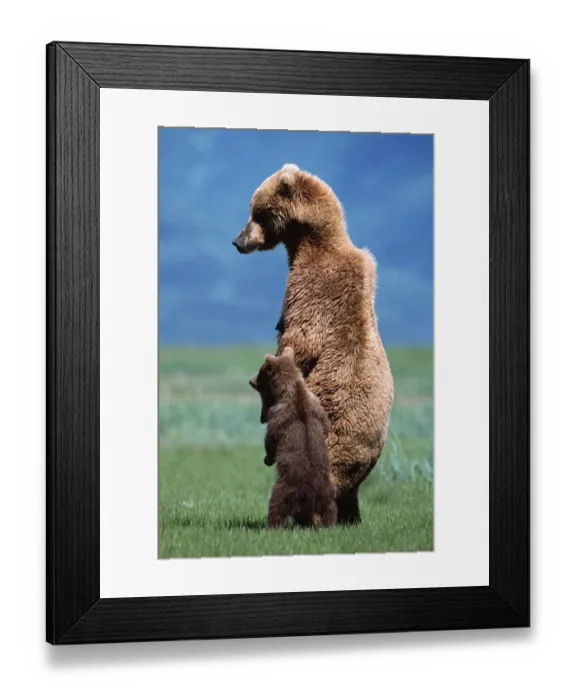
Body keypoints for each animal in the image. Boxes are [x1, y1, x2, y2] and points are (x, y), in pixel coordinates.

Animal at [248, 346, 337, 529]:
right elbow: (326, 426)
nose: (250, 381)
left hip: (286, 487)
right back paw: (329, 525)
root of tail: (310, 493)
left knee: (276, 505)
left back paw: (271, 526)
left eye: (260, 371)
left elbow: (271, 438)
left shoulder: (278, 415)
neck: (292, 389)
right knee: (330, 508)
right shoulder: (316, 405)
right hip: (327, 490)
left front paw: (268, 458)